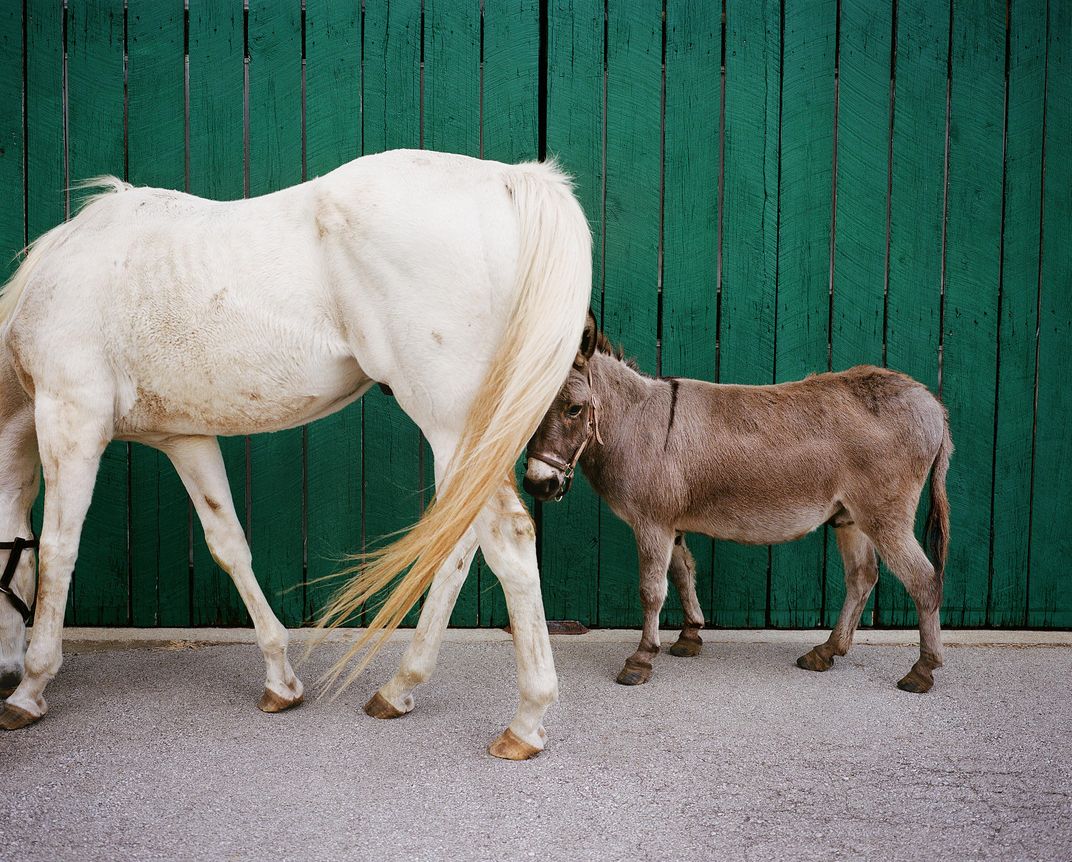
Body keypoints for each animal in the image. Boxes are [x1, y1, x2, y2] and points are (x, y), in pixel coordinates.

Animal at [0, 150, 587, 759]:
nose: (4, 671)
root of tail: (507, 180)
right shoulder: (184, 439)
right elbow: (228, 545)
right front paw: (280, 680)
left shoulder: (70, 417)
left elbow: (59, 548)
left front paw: (30, 689)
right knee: (460, 543)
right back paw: (398, 688)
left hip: (454, 427)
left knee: (506, 539)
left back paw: (525, 721)